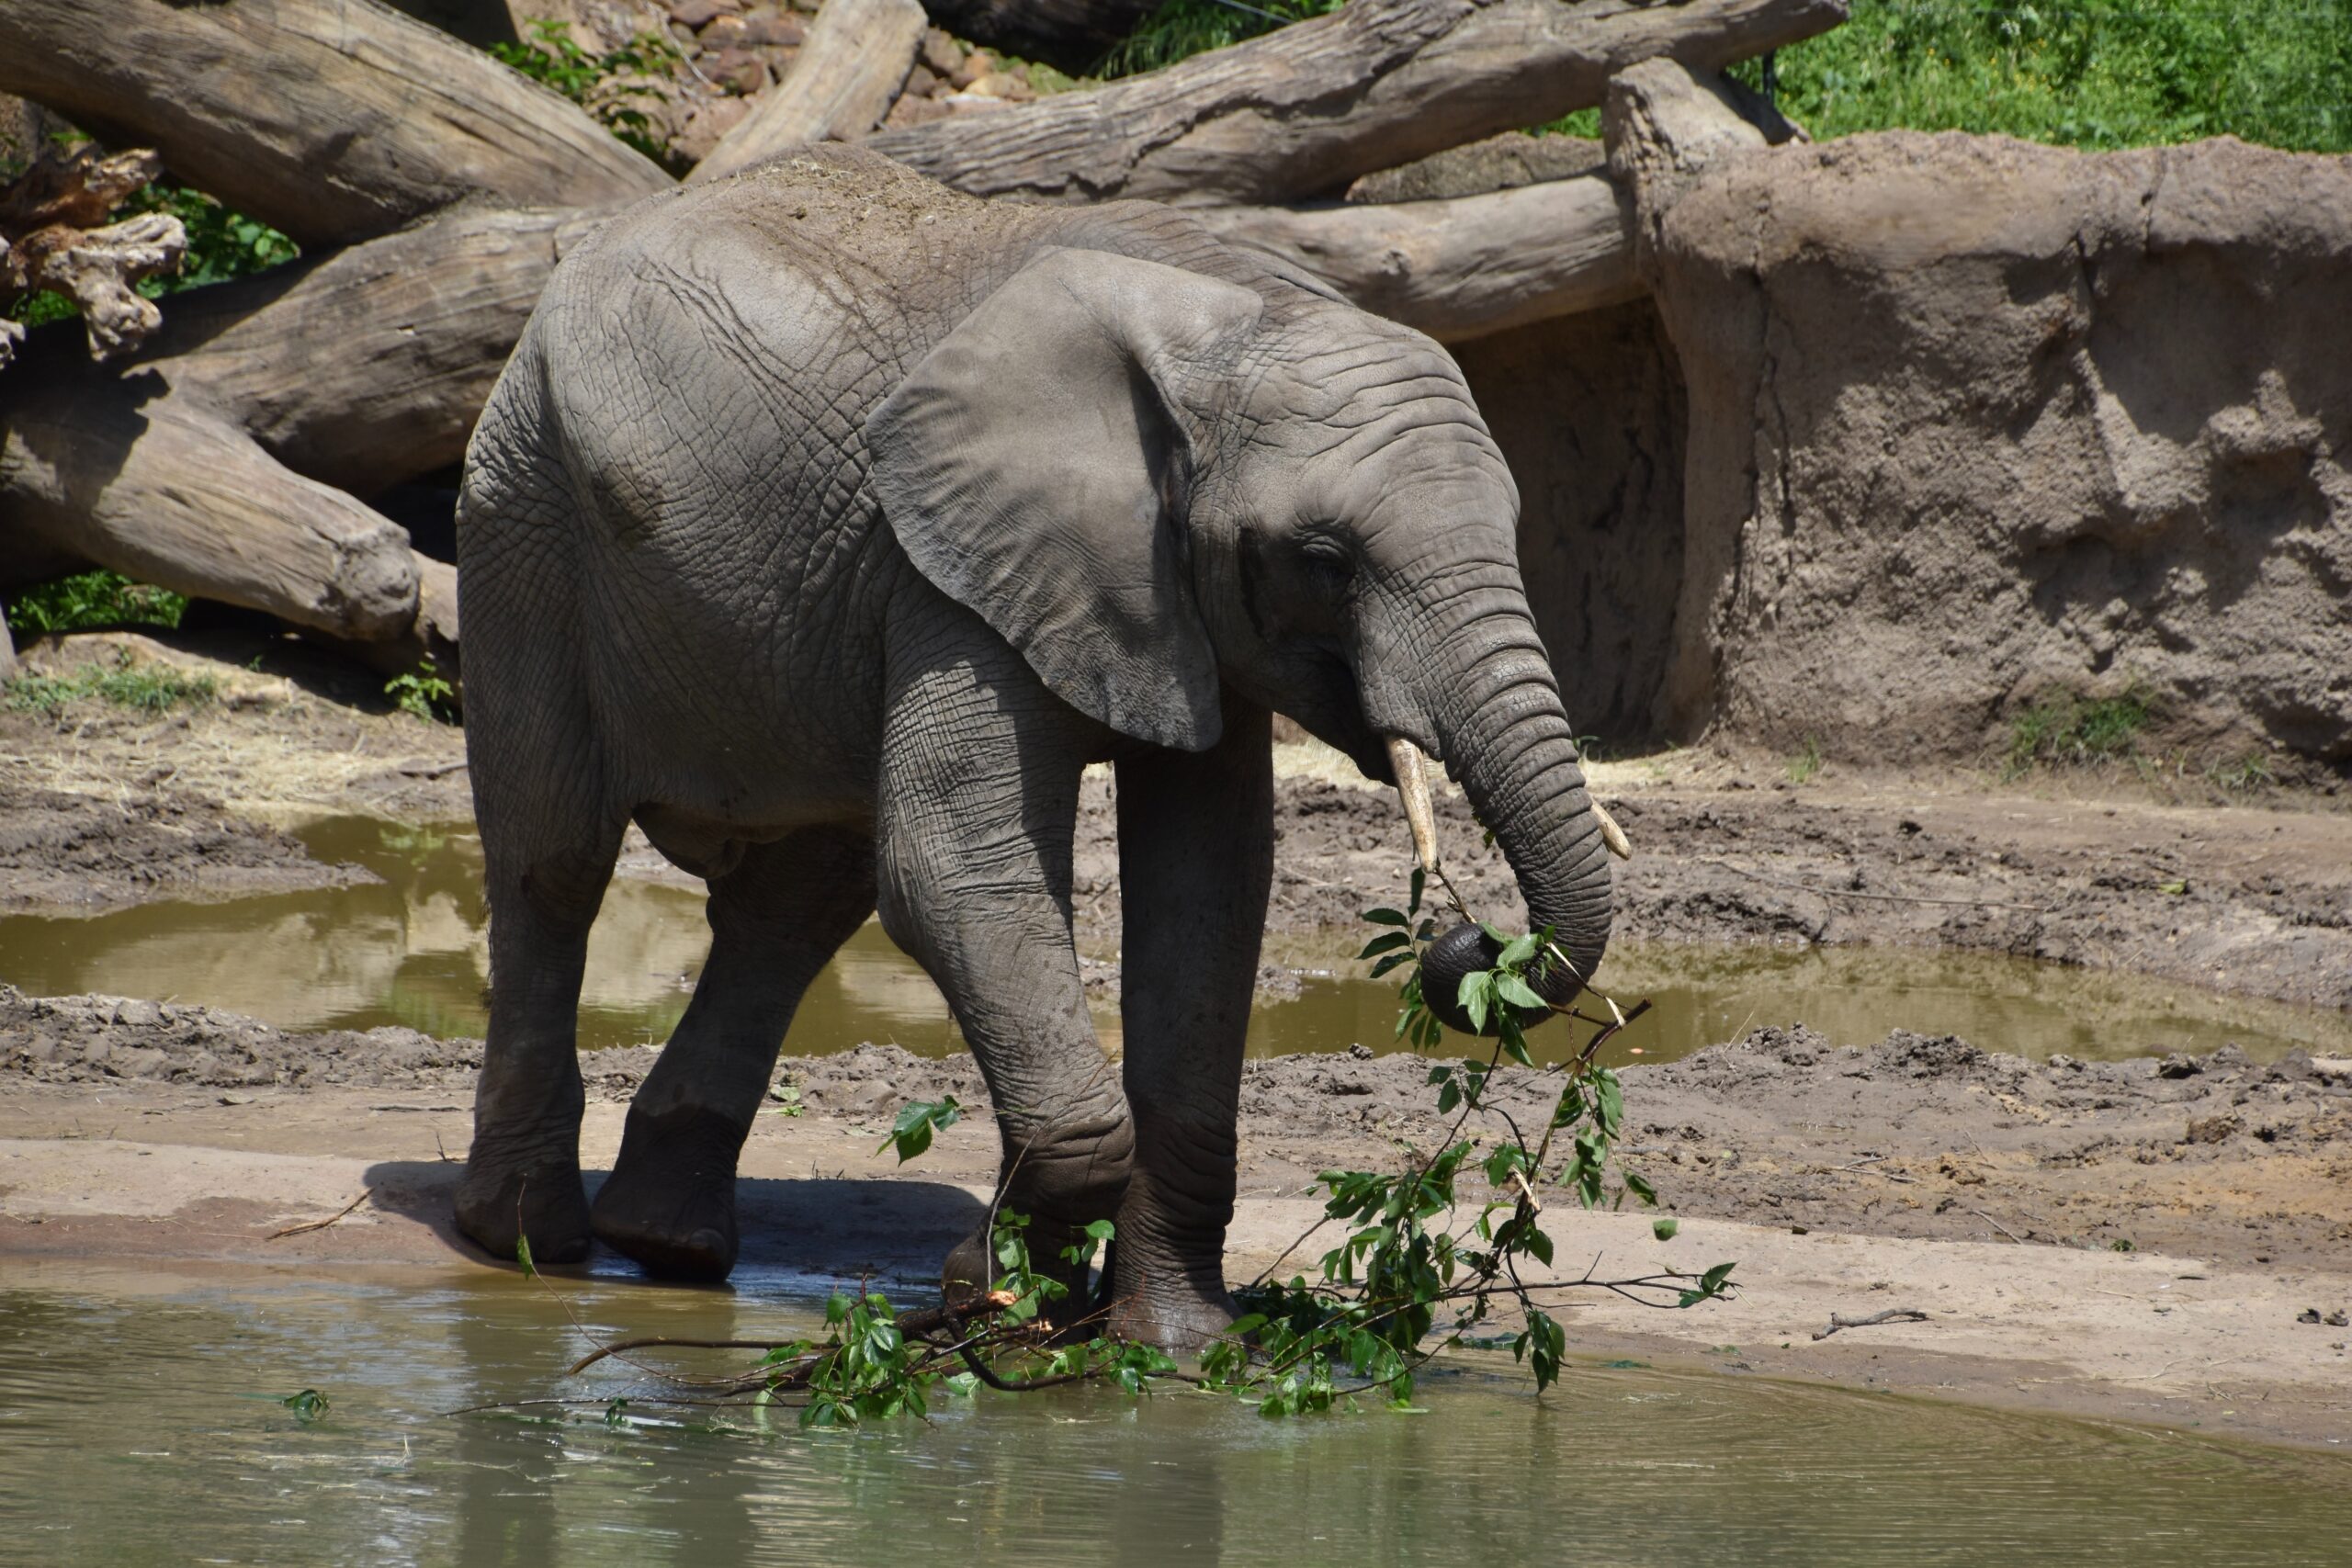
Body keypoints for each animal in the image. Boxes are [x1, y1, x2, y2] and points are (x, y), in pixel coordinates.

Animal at [447, 143, 1609, 1354]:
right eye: (1325, 559)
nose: (1467, 945)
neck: (1230, 319)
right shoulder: (949, 566)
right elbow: (955, 866)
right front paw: (993, 1297)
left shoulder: (1166, 598)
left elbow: (1206, 895)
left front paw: (1176, 1347)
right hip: (527, 509)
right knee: (555, 863)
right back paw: (523, 1240)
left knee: (798, 901)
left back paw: (666, 1246)